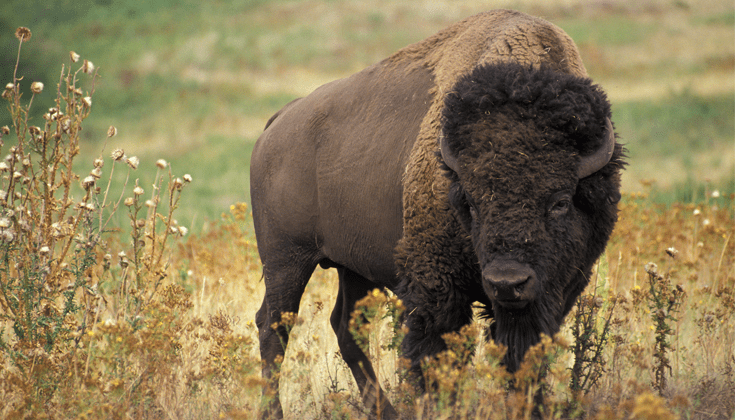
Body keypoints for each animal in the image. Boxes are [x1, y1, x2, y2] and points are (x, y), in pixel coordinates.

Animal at [250, 9, 625, 419]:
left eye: (560, 201)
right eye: (471, 202)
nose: (507, 282)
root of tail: (278, 122)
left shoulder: (552, 293)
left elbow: (524, 357)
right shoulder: (436, 288)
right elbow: (435, 355)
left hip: (352, 267)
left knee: (345, 326)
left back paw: (386, 410)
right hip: (286, 260)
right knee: (274, 328)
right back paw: (274, 411)